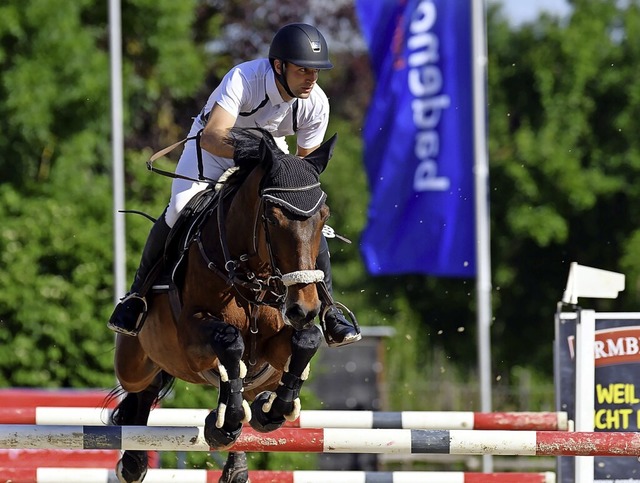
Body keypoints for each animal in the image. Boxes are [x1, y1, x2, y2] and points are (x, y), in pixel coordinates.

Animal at [111, 129, 336, 483]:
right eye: (272, 217)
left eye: (323, 217)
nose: (305, 308)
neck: (251, 275)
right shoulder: (192, 339)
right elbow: (230, 344)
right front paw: (223, 425)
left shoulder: (275, 345)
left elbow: (306, 340)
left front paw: (274, 410)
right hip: (133, 363)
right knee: (143, 389)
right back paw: (133, 461)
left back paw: (247, 443)